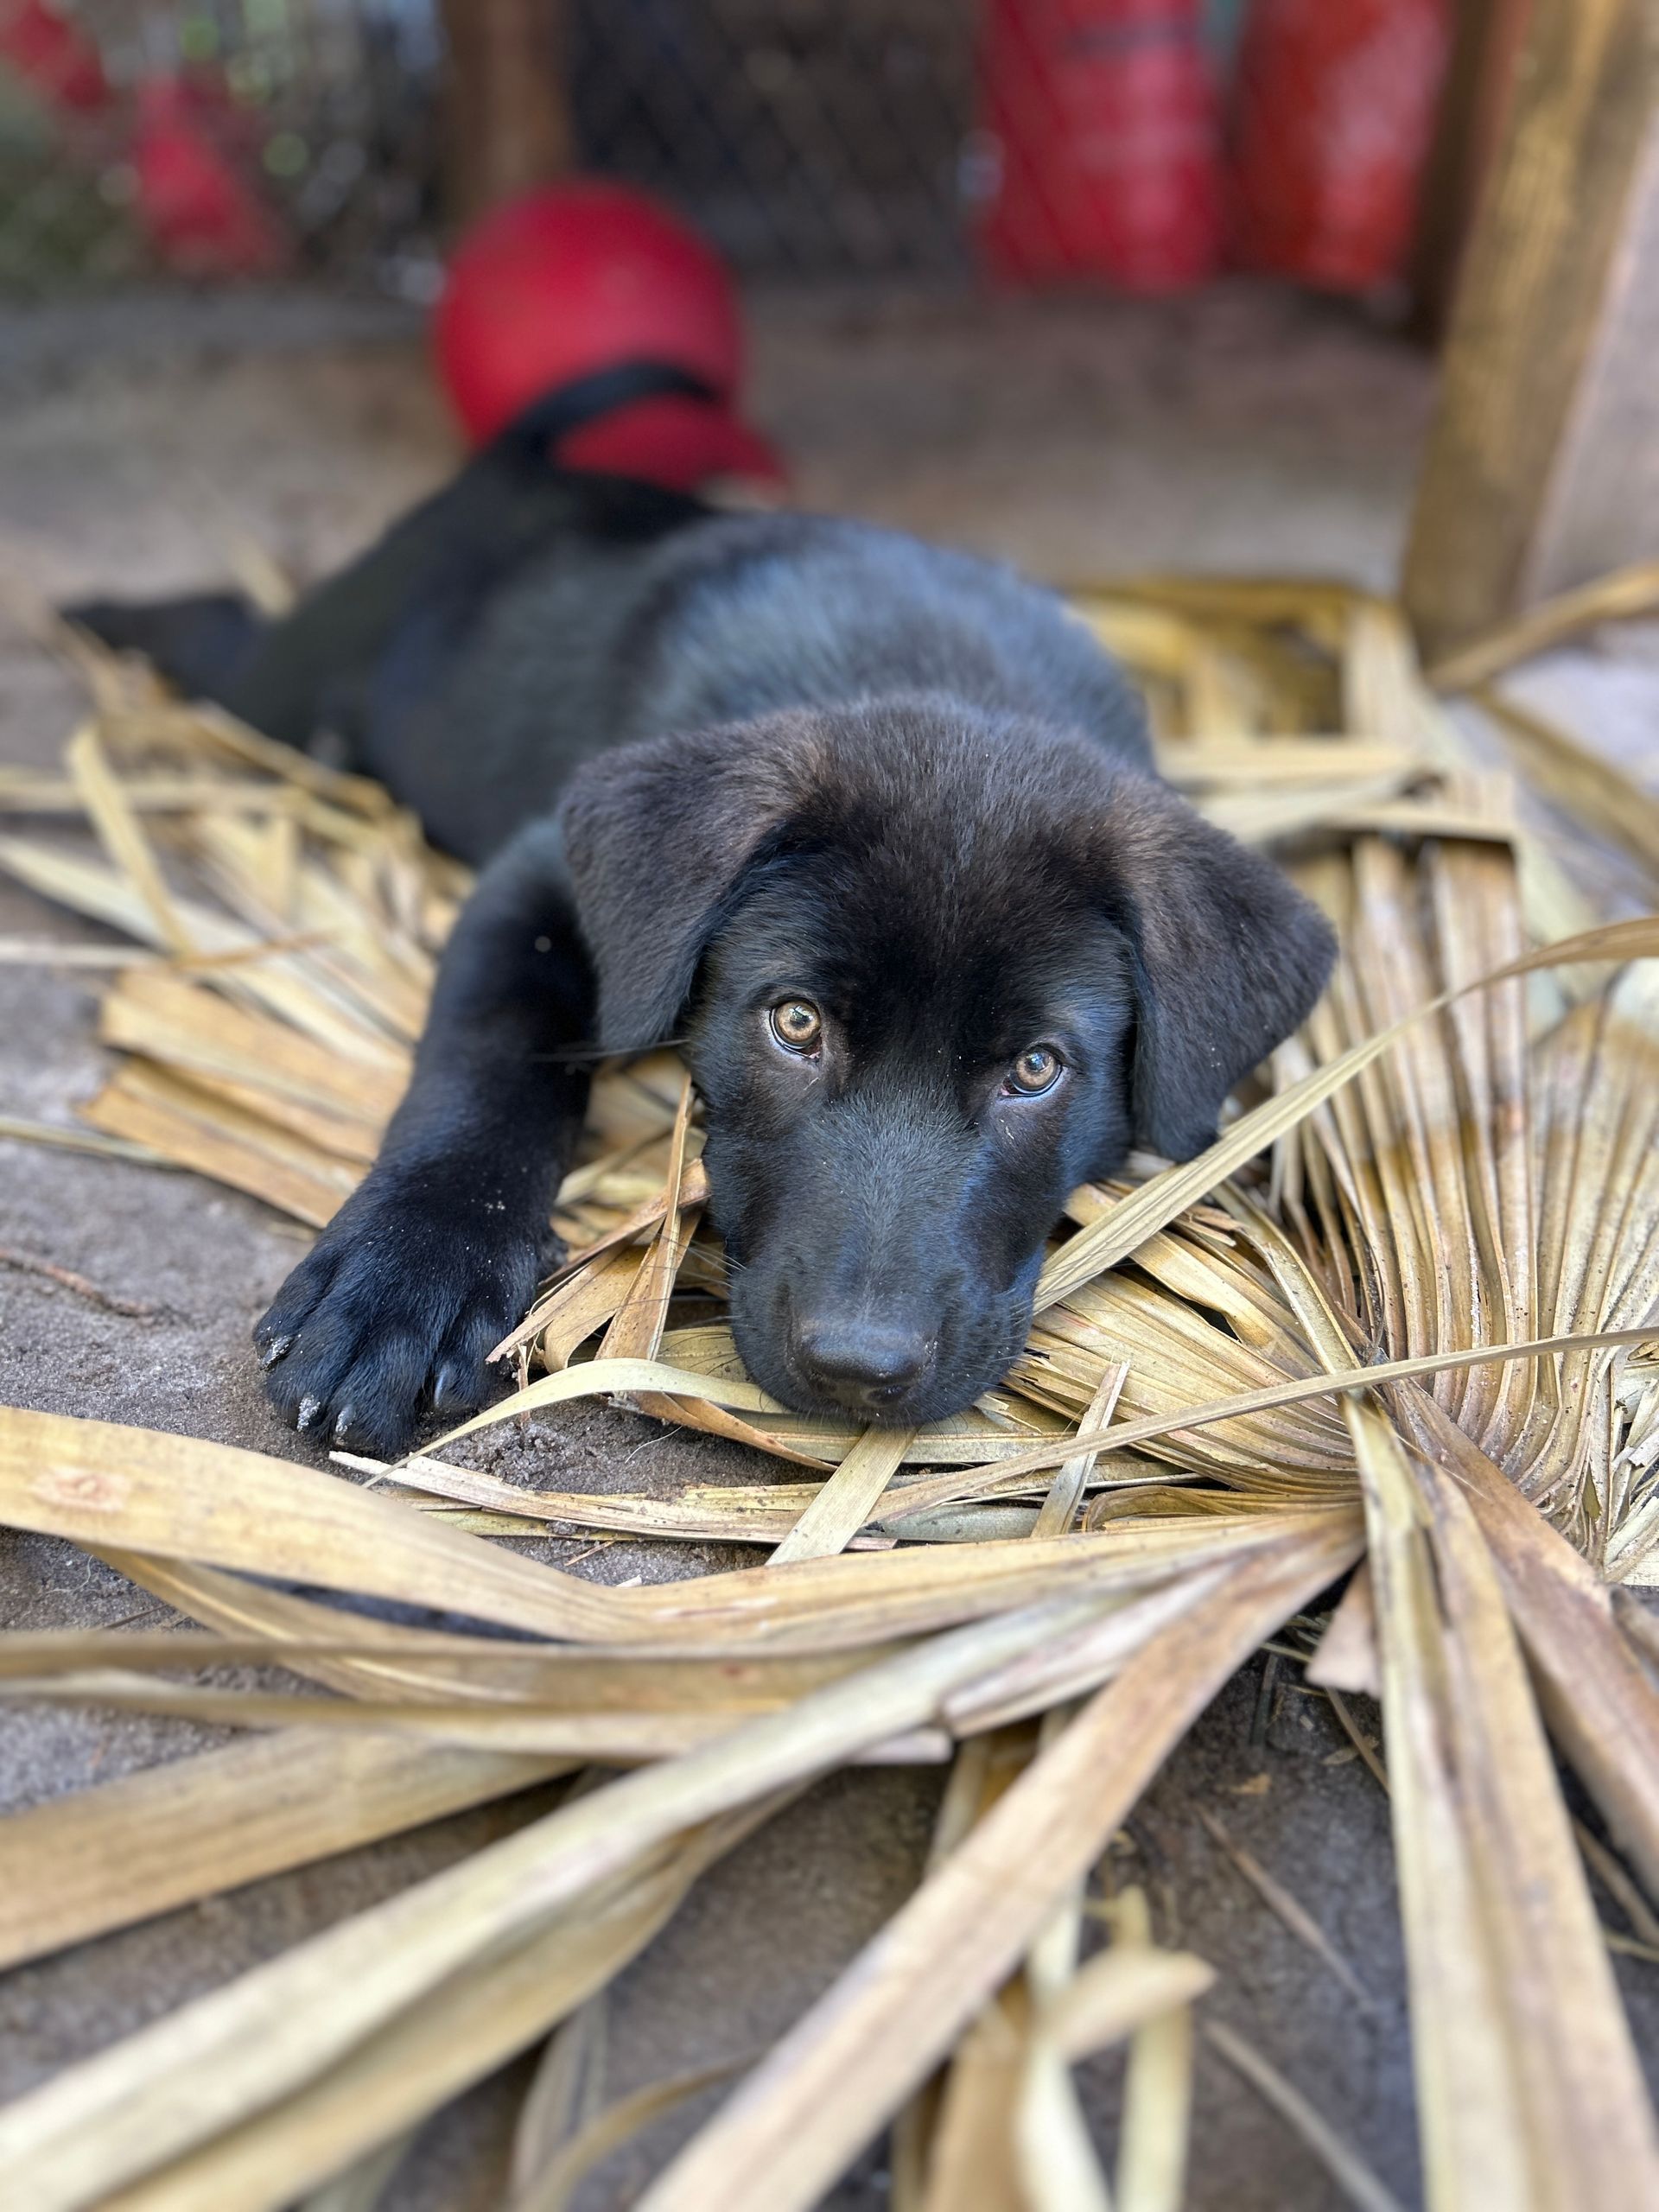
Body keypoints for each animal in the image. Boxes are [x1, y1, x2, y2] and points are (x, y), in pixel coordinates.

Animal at [73, 382, 1335, 1456]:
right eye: (794, 1023)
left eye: (1036, 1068)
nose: (857, 1368)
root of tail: (514, 470)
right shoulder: (537, 875)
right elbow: (486, 1060)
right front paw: (403, 1279)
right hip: (283, 687)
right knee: (228, 633)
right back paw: (106, 611)